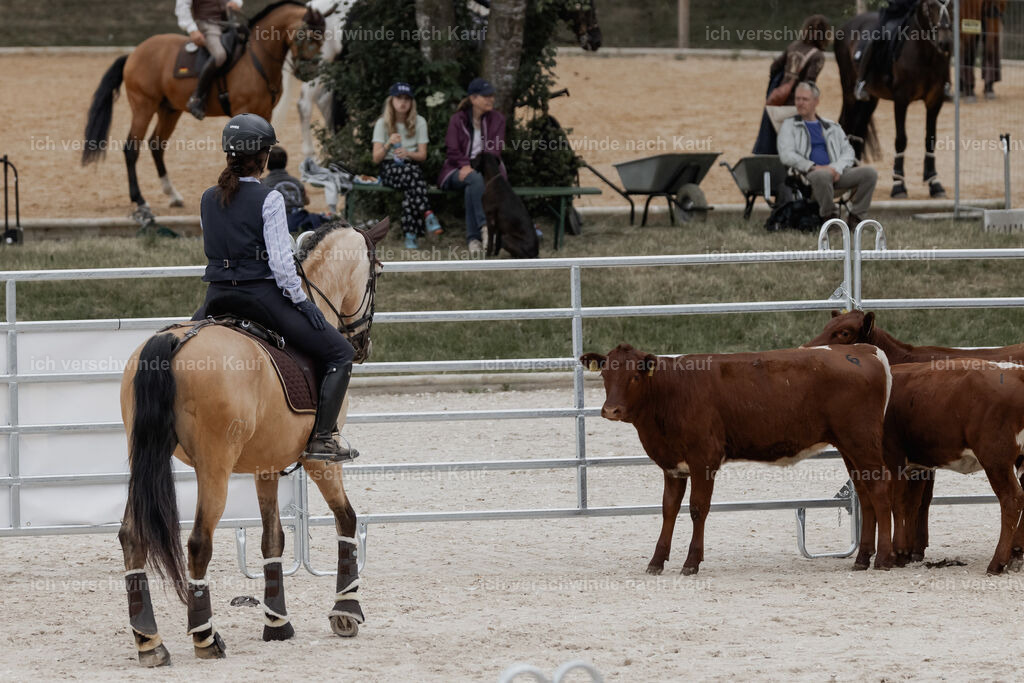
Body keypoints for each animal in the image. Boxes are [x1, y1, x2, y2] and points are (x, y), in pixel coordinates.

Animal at [81, 1, 332, 221]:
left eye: (322, 38)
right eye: (306, 35)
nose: (309, 73)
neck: (257, 58)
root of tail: (134, 53)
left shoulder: (264, 113)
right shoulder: (243, 110)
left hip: (169, 110)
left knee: (156, 145)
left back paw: (173, 195)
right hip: (144, 107)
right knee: (131, 149)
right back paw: (141, 201)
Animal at [117, 218, 388, 667]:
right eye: (378, 272)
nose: (363, 344)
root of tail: (176, 341)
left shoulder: (266, 465)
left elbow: (272, 539)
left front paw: (277, 623)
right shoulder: (321, 462)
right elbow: (347, 519)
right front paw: (346, 611)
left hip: (143, 458)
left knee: (132, 536)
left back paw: (149, 641)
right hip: (215, 467)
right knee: (198, 544)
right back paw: (205, 638)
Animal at [835, 0, 953, 199]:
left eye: (951, 5)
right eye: (930, 5)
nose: (945, 43)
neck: (925, 53)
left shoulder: (934, 100)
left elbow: (930, 139)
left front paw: (935, 183)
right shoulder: (901, 99)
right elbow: (901, 140)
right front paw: (898, 185)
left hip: (870, 99)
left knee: (859, 130)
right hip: (850, 92)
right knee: (846, 125)